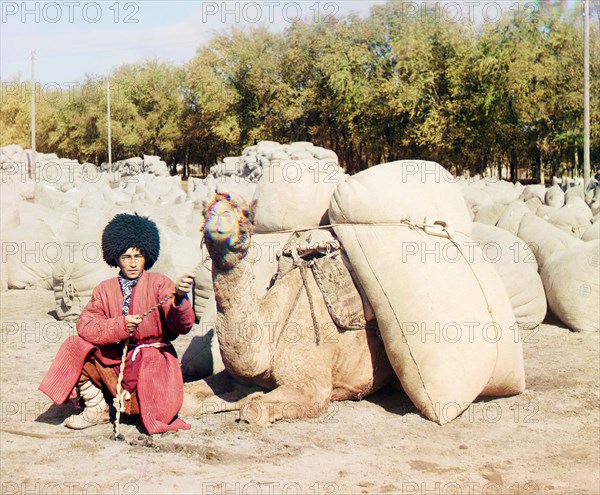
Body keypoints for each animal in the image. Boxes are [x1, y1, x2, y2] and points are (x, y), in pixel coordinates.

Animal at [180, 194, 394, 426]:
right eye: (205, 212)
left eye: (247, 215)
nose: (218, 214)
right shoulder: (234, 376)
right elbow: (187, 397)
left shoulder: (313, 388)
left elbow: (252, 409)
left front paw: (250, 399)